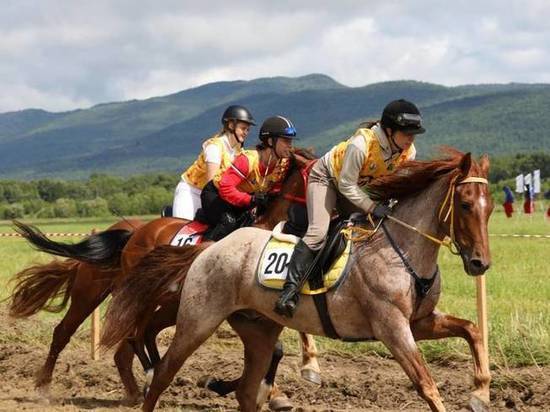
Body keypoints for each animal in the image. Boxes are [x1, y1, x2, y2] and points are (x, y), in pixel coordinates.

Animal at [6, 150, 322, 406]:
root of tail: (131, 233)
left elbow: (275, 350)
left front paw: (278, 387)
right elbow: (273, 350)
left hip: (151, 302)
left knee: (129, 343)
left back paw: (137, 390)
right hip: (95, 294)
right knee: (71, 332)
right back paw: (45, 387)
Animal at [111, 150, 496, 412]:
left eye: (490, 207)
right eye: (465, 204)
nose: (480, 263)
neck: (401, 248)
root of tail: (210, 247)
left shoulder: (420, 321)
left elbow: (472, 330)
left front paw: (480, 392)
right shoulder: (392, 328)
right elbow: (427, 385)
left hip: (258, 328)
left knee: (246, 390)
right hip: (197, 320)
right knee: (161, 368)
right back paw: (147, 381)